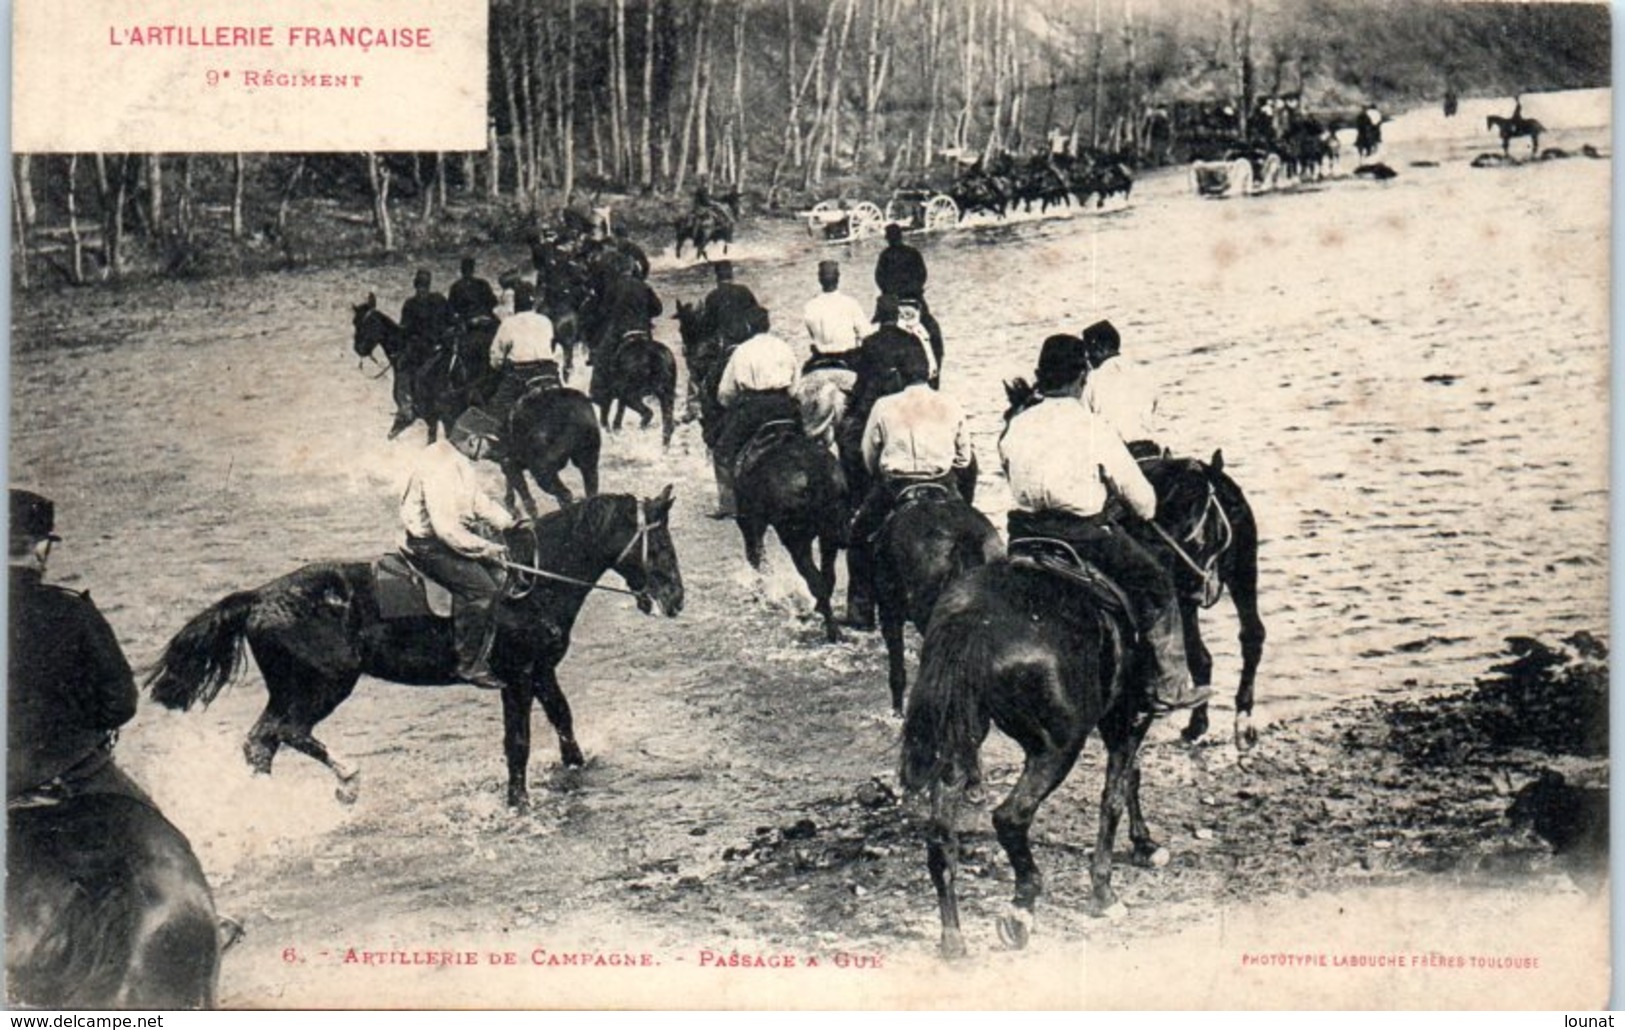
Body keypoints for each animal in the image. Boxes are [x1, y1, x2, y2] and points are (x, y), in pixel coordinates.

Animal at [146, 490, 685, 809]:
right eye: (660, 545)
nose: (676, 598)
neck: (533, 579)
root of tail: (258, 598)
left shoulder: (541, 672)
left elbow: (563, 720)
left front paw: (578, 767)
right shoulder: (515, 679)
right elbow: (518, 743)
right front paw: (517, 802)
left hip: (291, 689)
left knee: (262, 741)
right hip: (324, 686)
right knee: (285, 733)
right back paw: (347, 778)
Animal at [731, 422, 845, 636]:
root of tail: (813, 472)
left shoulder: (751, 523)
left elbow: (756, 558)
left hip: (795, 541)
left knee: (815, 580)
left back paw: (832, 629)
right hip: (829, 536)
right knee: (827, 577)